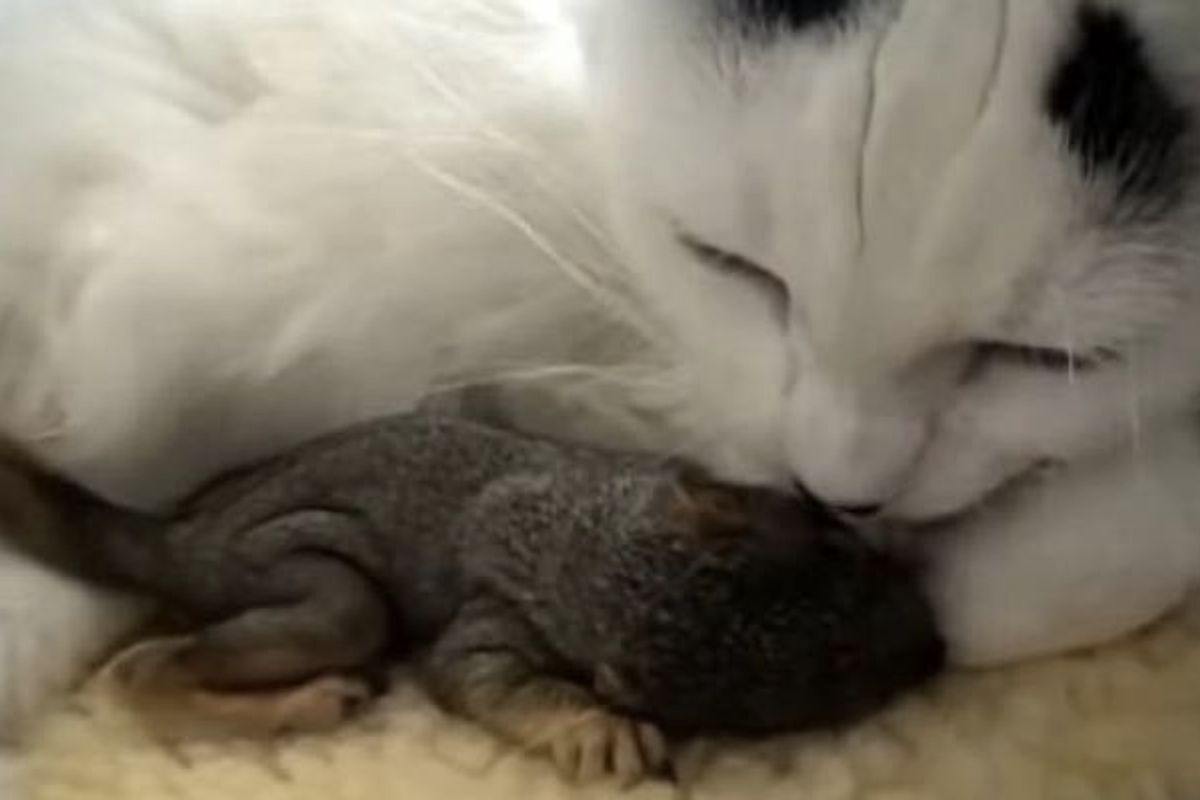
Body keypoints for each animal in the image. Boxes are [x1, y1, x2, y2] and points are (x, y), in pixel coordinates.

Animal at [0, 412, 944, 785]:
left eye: (846, 557)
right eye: (823, 682)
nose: (933, 650)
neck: (595, 554)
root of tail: (178, 537)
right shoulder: (496, 615)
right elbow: (473, 670)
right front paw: (594, 730)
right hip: (287, 575)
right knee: (151, 673)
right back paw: (301, 700)